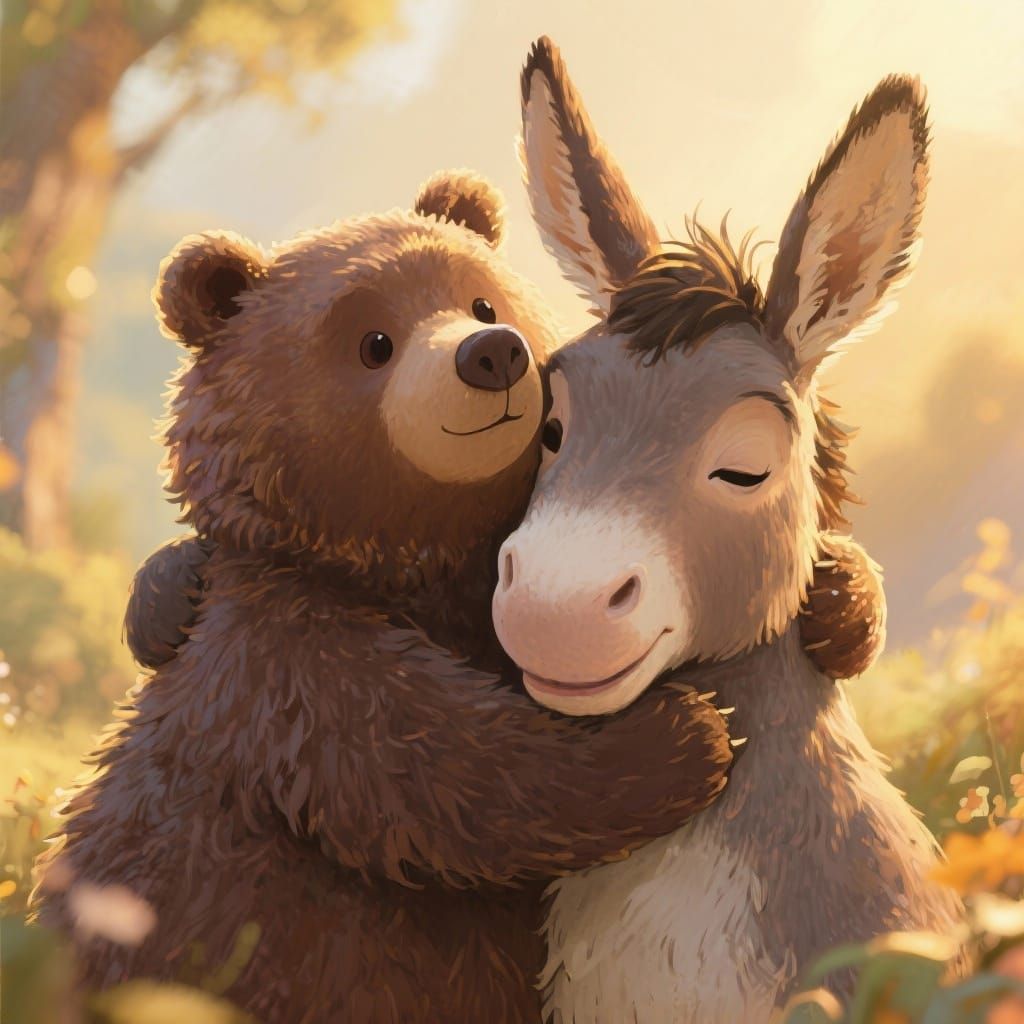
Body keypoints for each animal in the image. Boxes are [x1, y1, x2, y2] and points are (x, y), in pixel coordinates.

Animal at [32, 172, 740, 1024]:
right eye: (374, 342)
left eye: (482, 302)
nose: (492, 354)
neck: (406, 565)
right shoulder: (284, 653)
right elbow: (432, 766)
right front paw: (689, 734)